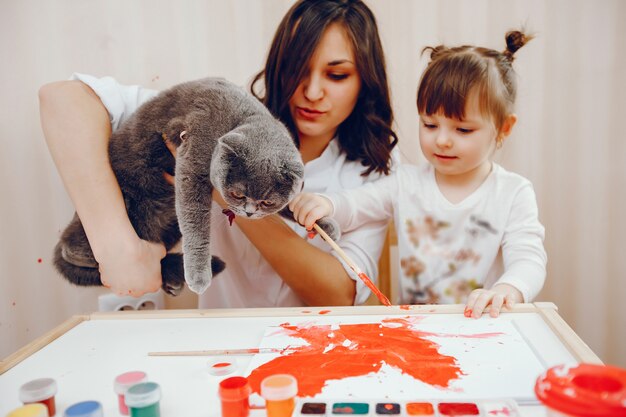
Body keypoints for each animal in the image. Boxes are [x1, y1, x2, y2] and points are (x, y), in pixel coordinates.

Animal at [53, 76, 336, 294]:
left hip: (168, 227)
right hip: (122, 204)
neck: (243, 114)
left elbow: (292, 207)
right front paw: (199, 276)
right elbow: (196, 222)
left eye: (267, 202)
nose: (249, 212)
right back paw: (79, 253)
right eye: (237, 194)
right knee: (77, 244)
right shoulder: (195, 152)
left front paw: (321, 222)